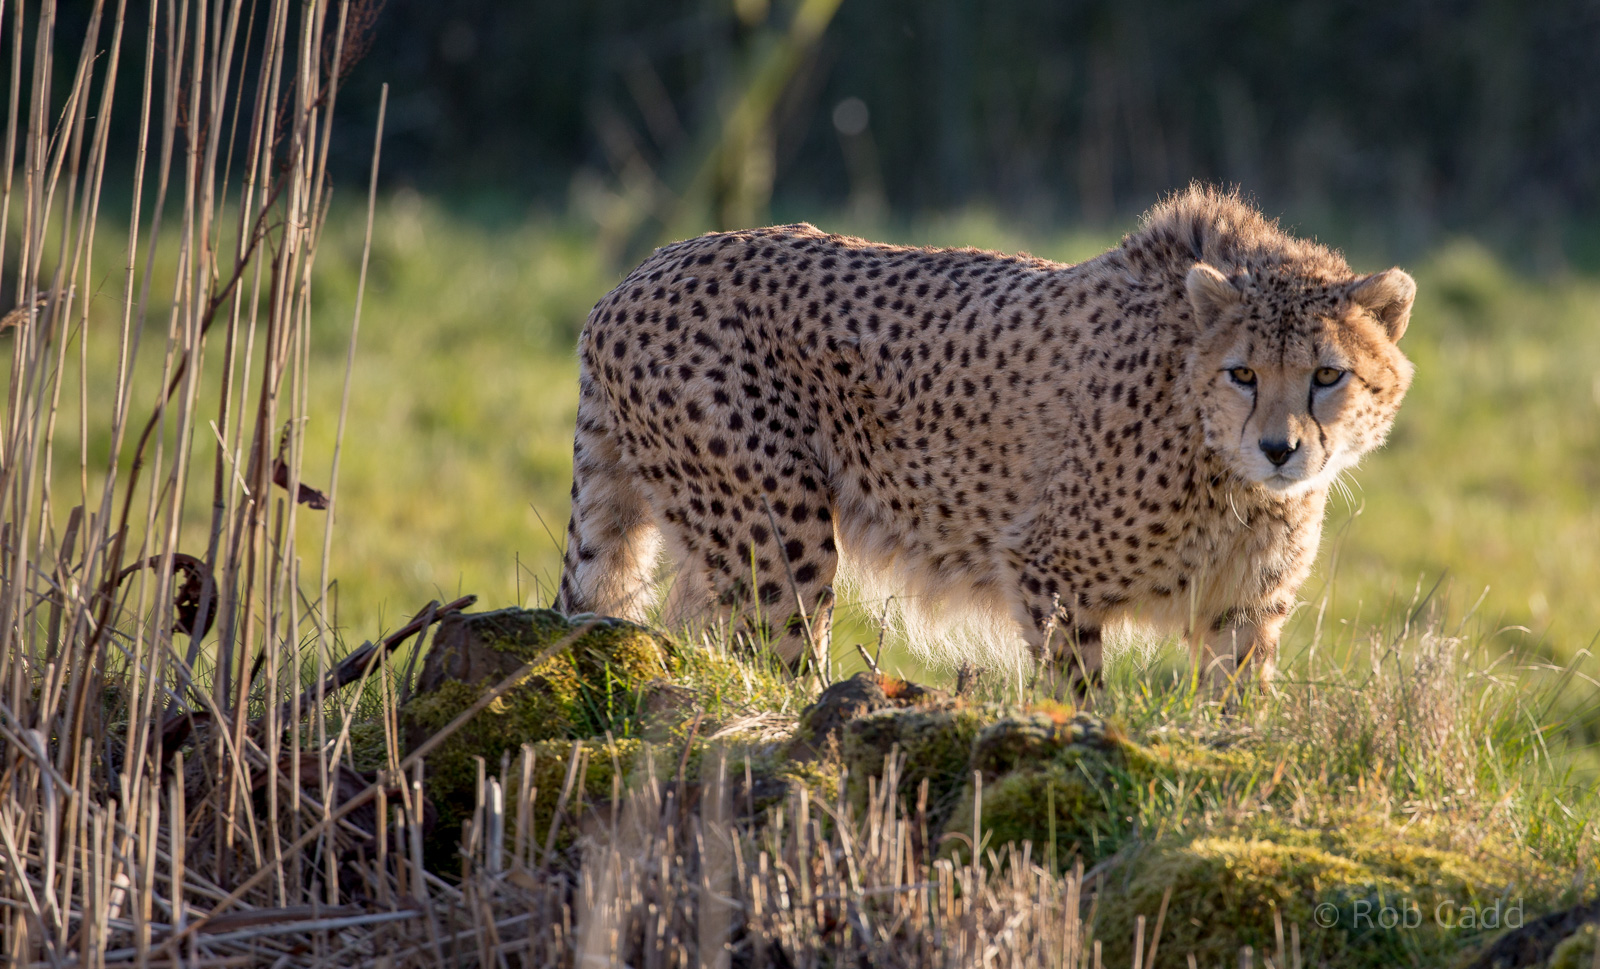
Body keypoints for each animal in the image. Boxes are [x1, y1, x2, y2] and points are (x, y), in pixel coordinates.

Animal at [553, 184, 1416, 693]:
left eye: (1328, 375)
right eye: (1243, 373)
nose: (1281, 449)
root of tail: (634, 276)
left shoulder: (1242, 607)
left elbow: (1237, 713)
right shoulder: (1048, 566)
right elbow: (1078, 691)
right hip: (775, 533)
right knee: (776, 661)